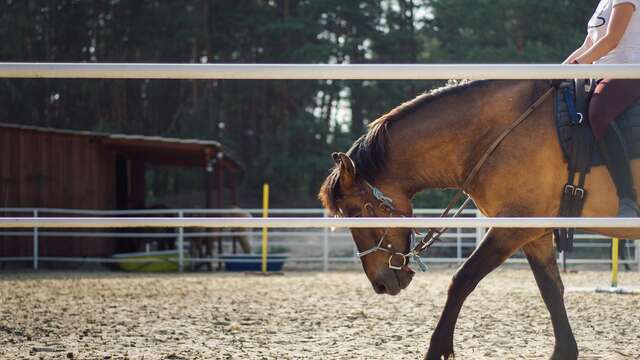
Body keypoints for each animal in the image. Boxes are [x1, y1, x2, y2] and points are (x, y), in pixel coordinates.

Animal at [318, 80, 636, 360]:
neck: (501, 133)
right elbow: (551, 291)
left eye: (355, 212)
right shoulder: (535, 234)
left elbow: (462, 279)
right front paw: (564, 351)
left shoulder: (513, 228)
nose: (381, 283)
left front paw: (437, 350)